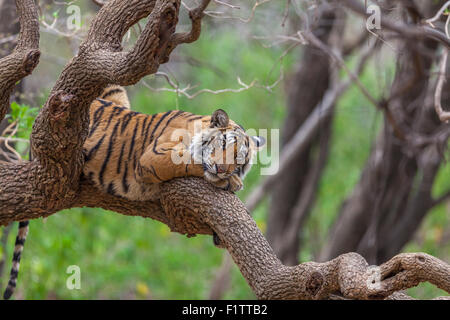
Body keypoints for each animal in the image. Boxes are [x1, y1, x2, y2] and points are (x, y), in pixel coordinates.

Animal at [3, 84, 266, 298]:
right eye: (223, 145)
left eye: (240, 160)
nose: (223, 169)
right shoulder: (153, 157)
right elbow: (191, 161)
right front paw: (231, 182)